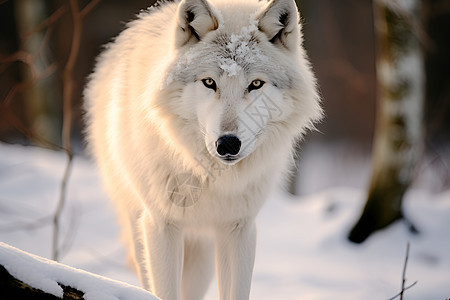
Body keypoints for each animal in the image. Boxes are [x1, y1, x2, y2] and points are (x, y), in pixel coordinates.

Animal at [84, 0, 322, 300]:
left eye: (255, 84)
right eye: (209, 82)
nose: (228, 143)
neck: (208, 177)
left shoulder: (238, 229)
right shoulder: (161, 225)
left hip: (202, 254)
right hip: (139, 230)